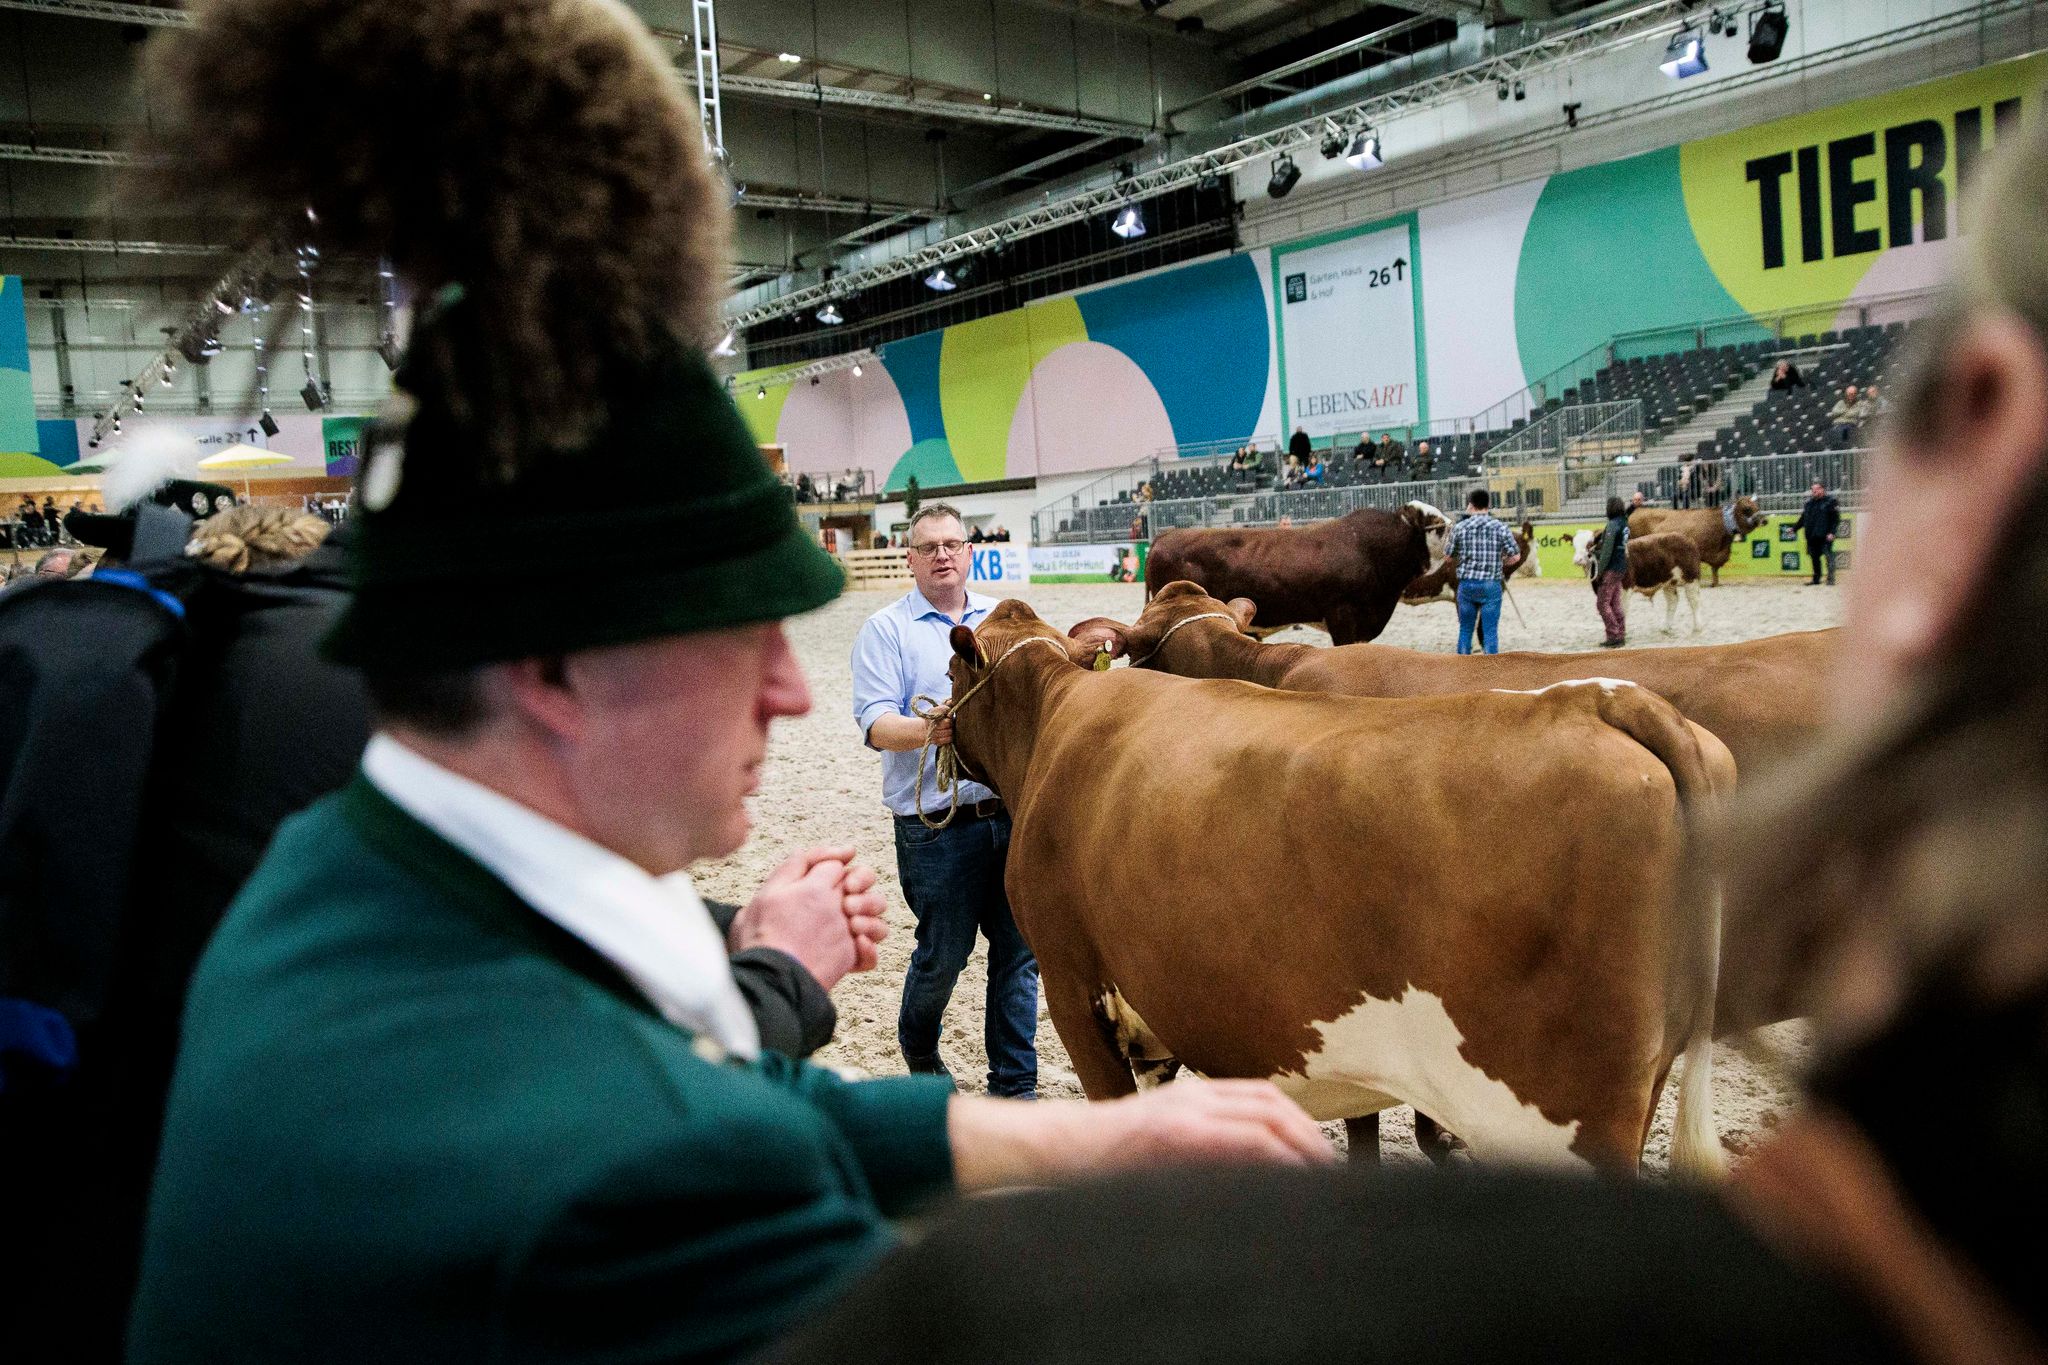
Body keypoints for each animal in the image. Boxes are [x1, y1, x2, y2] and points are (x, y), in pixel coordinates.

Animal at [942, 601, 1728, 1178]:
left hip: (1558, 1116)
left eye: (952, 670)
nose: (934, 725)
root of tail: (1601, 700)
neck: (1057, 718)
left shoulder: (1072, 983)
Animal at [1572, 532, 1703, 642]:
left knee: (1694, 602)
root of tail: (1687, 538)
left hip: (1691, 579)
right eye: (1574, 545)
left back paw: (1697, 627)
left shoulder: (1625, 588)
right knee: (1672, 602)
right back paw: (1666, 627)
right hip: (1669, 582)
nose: (1577, 560)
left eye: (1589, 544)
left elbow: (1622, 610)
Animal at [1630, 499, 1761, 589]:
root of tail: (1637, 511)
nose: (1763, 520)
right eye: (1747, 509)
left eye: (1757, 506)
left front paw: (1715, 583)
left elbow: (1715, 569)